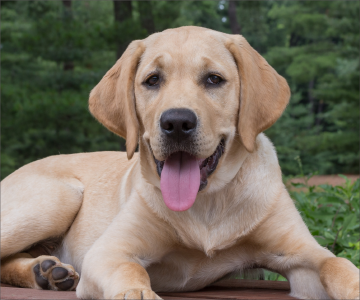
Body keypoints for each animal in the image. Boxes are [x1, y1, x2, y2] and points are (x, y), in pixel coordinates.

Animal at [1, 27, 358, 298]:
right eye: (152, 80)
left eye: (213, 79)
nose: (176, 123)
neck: (208, 204)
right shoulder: (108, 252)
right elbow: (131, 275)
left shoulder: (301, 252)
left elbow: (336, 263)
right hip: (58, 198)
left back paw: (46, 270)